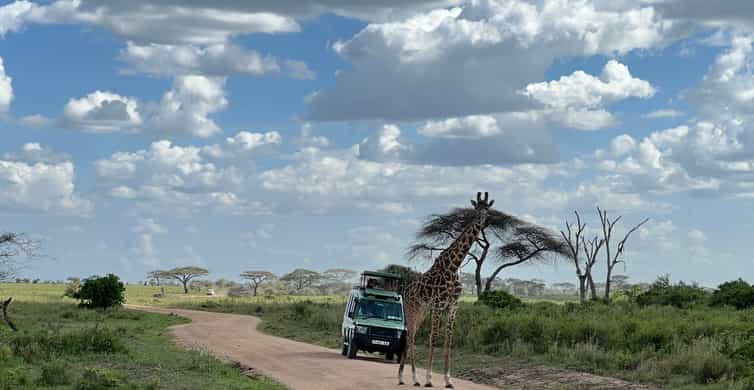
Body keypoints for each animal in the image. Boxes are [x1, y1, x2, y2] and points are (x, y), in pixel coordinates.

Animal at [396, 191, 490, 386]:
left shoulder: (453, 306)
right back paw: (409, 377)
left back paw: (408, 377)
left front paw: (448, 380)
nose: (480, 220)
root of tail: (406, 290)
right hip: (412, 309)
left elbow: (448, 340)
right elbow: (433, 338)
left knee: (412, 336)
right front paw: (429, 379)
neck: (454, 266)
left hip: (423, 311)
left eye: (487, 210)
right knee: (410, 336)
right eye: (475, 209)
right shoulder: (438, 304)